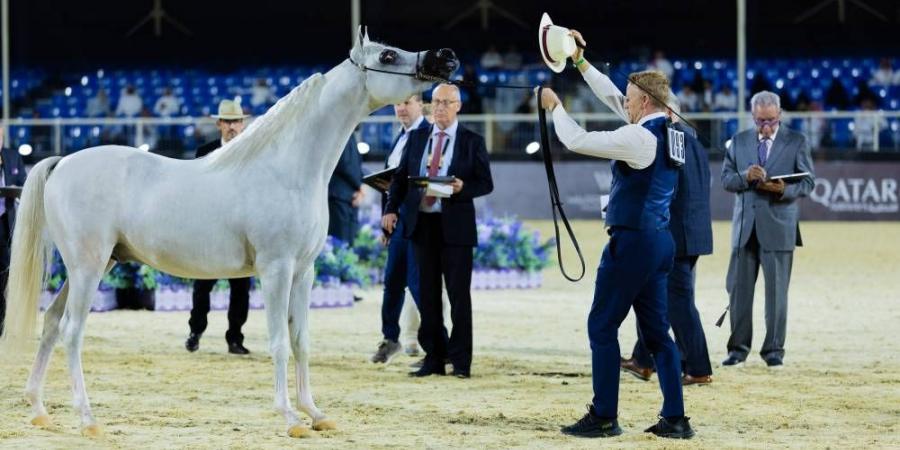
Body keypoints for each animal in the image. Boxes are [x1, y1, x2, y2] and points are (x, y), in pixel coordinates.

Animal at [0, 29, 460, 438]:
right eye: (387, 55)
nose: (446, 57)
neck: (287, 167)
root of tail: (61, 162)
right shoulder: (275, 270)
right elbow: (278, 341)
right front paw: (290, 418)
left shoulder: (303, 272)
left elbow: (301, 341)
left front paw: (315, 413)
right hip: (88, 266)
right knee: (72, 332)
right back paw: (88, 419)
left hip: (94, 265)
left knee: (52, 321)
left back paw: (40, 410)